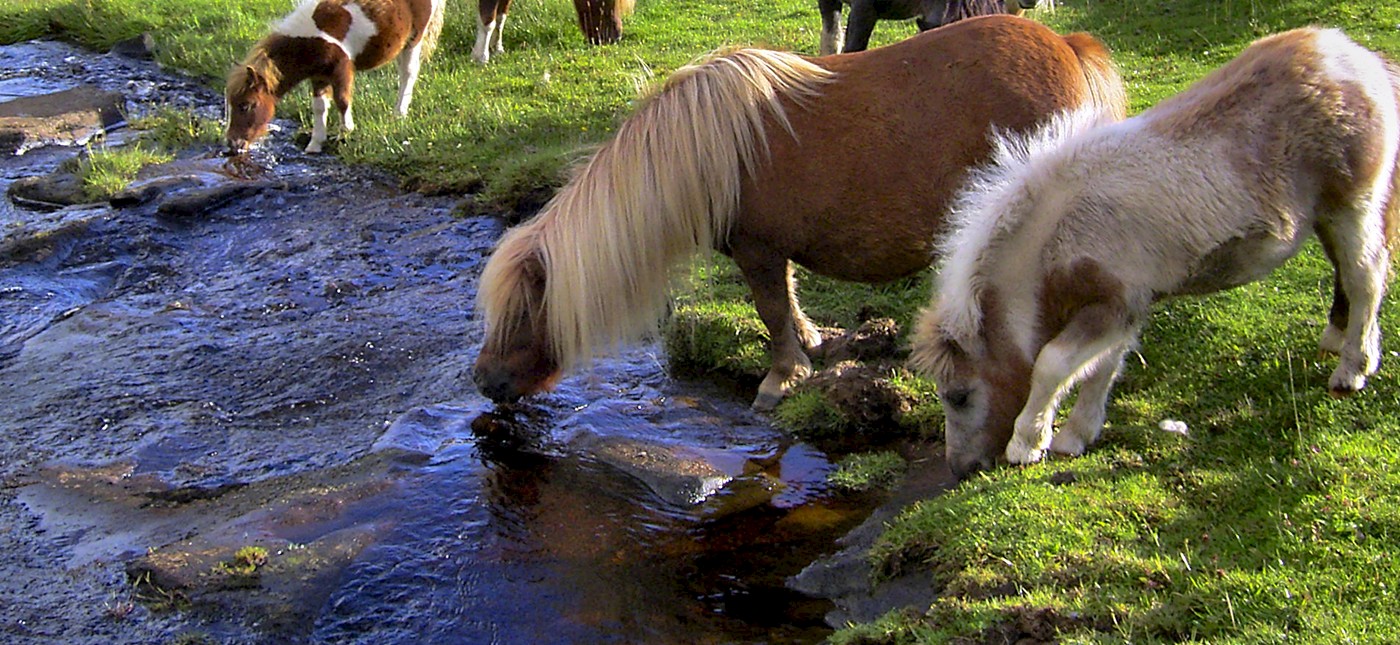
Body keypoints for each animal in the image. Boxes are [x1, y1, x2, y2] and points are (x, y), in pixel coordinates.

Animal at [224, 0, 445, 153]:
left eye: (246, 105)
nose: (233, 144)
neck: (311, 40)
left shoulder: (341, 68)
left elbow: (342, 100)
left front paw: (344, 133)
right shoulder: (318, 76)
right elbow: (319, 106)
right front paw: (315, 143)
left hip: (414, 39)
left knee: (408, 74)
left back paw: (399, 113)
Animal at [470, 15, 1125, 408]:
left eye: (522, 313)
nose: (484, 381)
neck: (706, 151)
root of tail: (1068, 48)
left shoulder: (756, 250)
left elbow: (770, 311)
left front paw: (780, 378)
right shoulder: (773, 252)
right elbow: (787, 302)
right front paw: (810, 346)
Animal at [907, 26, 1400, 478]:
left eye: (959, 395)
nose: (961, 468)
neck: (1058, 231)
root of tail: (1357, 58)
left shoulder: (1114, 304)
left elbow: (1052, 364)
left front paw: (1028, 444)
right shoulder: (1124, 310)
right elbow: (1101, 366)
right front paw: (1075, 437)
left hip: (1352, 205)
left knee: (1366, 275)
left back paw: (1352, 371)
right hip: (1325, 216)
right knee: (1349, 272)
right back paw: (1339, 343)